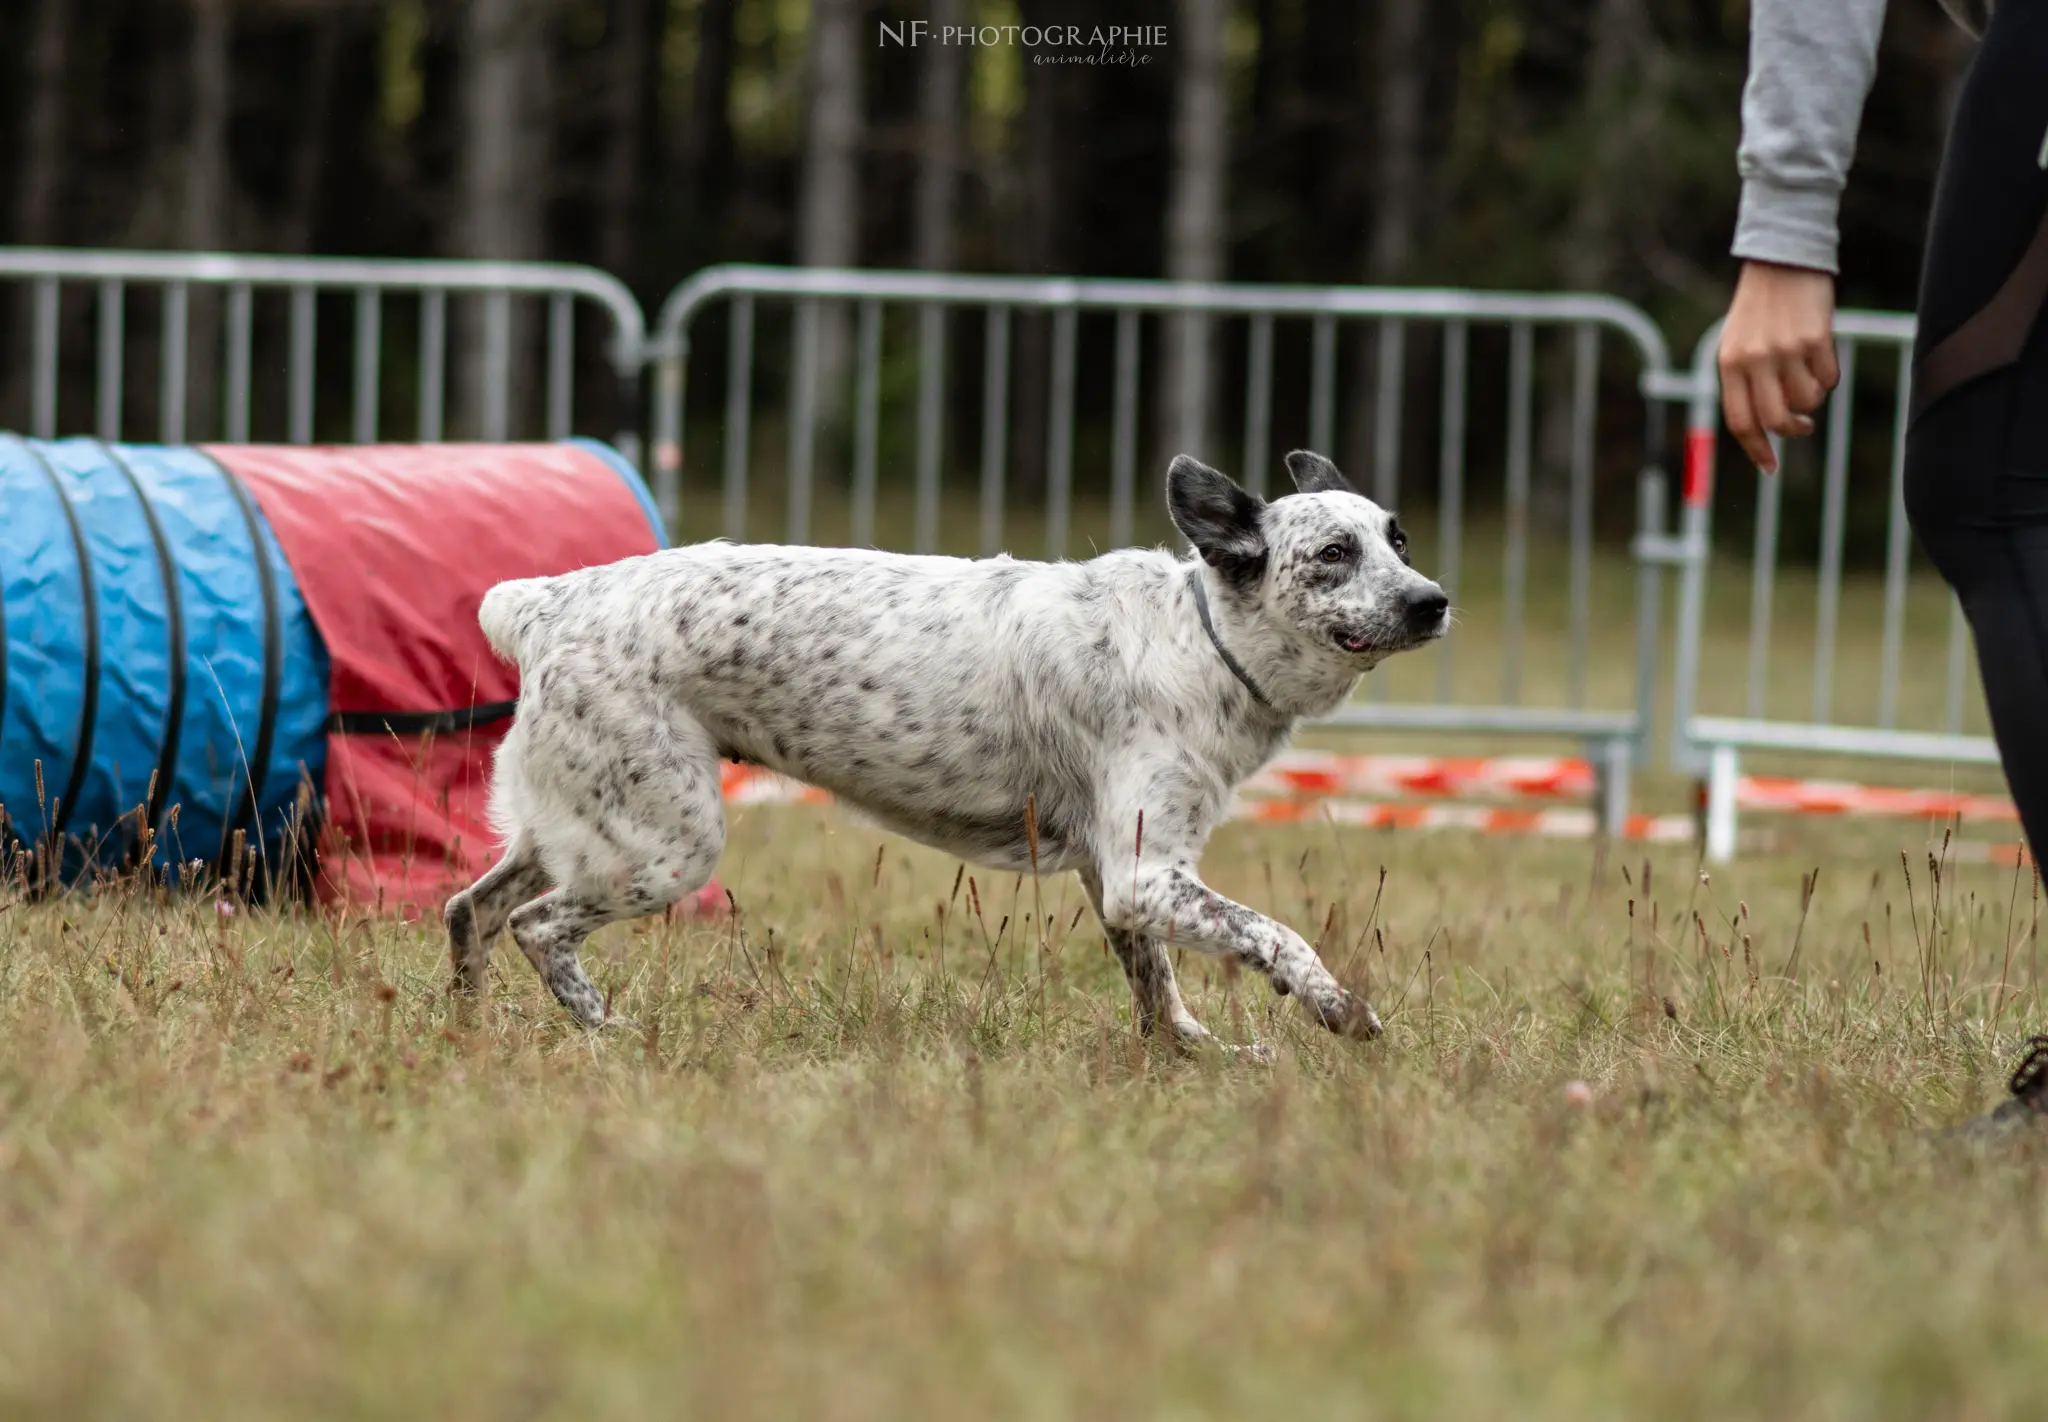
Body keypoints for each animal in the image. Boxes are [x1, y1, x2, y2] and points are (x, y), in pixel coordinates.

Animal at [448, 450, 1449, 1049]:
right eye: (1334, 552)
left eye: (1398, 539)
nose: (1433, 601)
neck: (1197, 639)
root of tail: (550, 602)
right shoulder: (1147, 875)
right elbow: (1277, 936)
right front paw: (1340, 1011)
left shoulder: (1120, 875)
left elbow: (1157, 988)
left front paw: (1195, 1054)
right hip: (665, 845)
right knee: (536, 926)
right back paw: (604, 1031)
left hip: (580, 830)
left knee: (471, 909)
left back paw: (467, 1031)